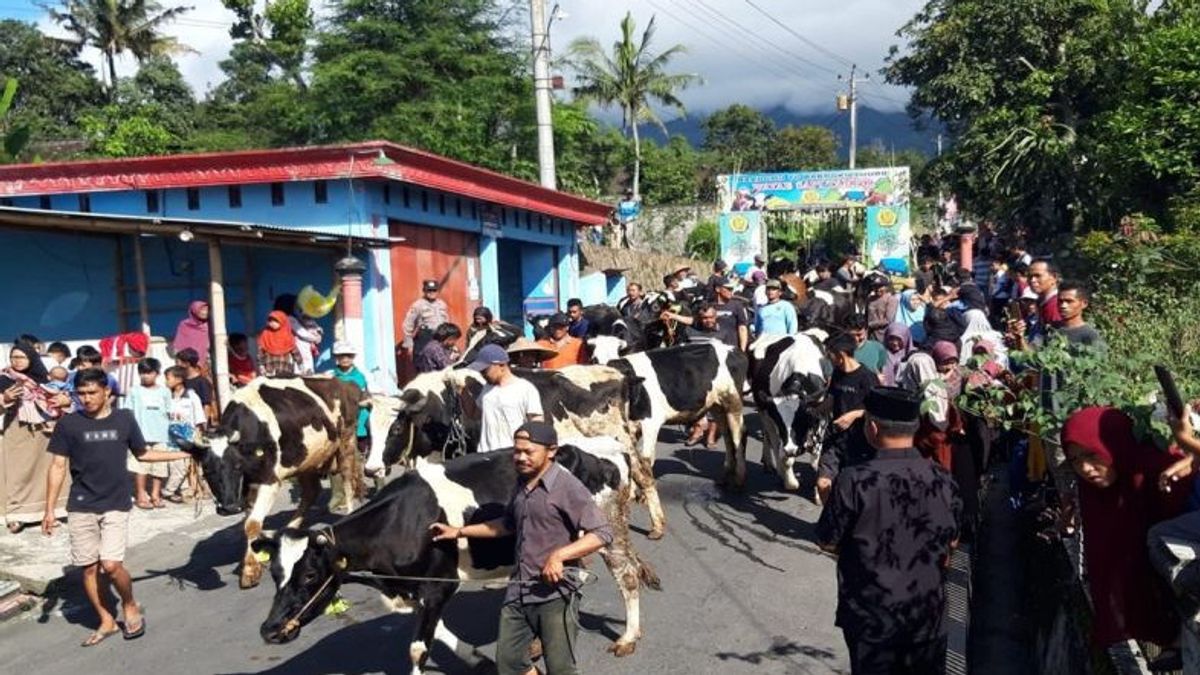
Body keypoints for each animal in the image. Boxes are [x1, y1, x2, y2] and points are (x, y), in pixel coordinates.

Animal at [187, 374, 362, 586]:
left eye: (237, 466)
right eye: (206, 469)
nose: (229, 508)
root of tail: (343, 382)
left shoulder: (269, 480)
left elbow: (252, 524)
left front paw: (249, 571)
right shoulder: (246, 488)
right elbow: (250, 522)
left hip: (346, 441)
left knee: (347, 478)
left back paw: (350, 514)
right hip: (305, 460)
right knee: (311, 492)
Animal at [255, 439, 667, 667]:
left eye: (309, 575)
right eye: (274, 574)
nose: (269, 631)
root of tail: (609, 446)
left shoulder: (439, 584)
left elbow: (418, 648)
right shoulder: (417, 588)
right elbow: (437, 634)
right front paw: (474, 655)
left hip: (608, 529)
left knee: (627, 575)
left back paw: (628, 638)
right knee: (574, 576)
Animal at [364, 362, 667, 535]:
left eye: (396, 429)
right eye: (367, 428)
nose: (370, 468)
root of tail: (618, 374)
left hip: (620, 438)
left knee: (643, 472)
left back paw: (657, 525)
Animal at [609, 341, 748, 487]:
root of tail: (734, 349)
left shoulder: (650, 423)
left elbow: (645, 459)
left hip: (733, 402)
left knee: (739, 434)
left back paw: (739, 479)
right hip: (717, 405)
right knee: (727, 435)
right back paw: (725, 476)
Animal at [748, 329, 835, 487]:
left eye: (801, 418)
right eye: (781, 422)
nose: (791, 448)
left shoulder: (822, 415)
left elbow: (817, 455)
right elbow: (786, 457)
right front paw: (791, 482)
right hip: (763, 408)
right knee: (771, 437)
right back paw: (773, 466)